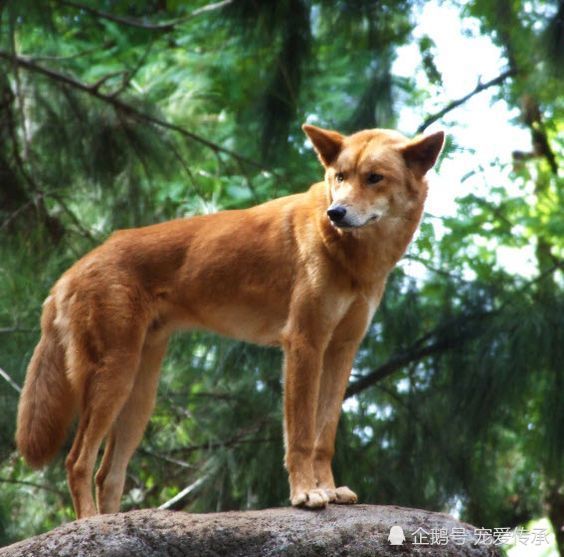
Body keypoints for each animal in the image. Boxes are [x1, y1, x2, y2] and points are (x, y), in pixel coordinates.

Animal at [15, 121, 442, 516]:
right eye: (340, 176)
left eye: (374, 177)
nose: (335, 212)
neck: (353, 258)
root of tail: (70, 272)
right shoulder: (304, 342)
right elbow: (301, 436)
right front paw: (306, 493)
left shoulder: (341, 349)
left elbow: (324, 437)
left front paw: (330, 490)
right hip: (113, 378)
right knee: (77, 462)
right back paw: (88, 523)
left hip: (138, 393)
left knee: (108, 474)